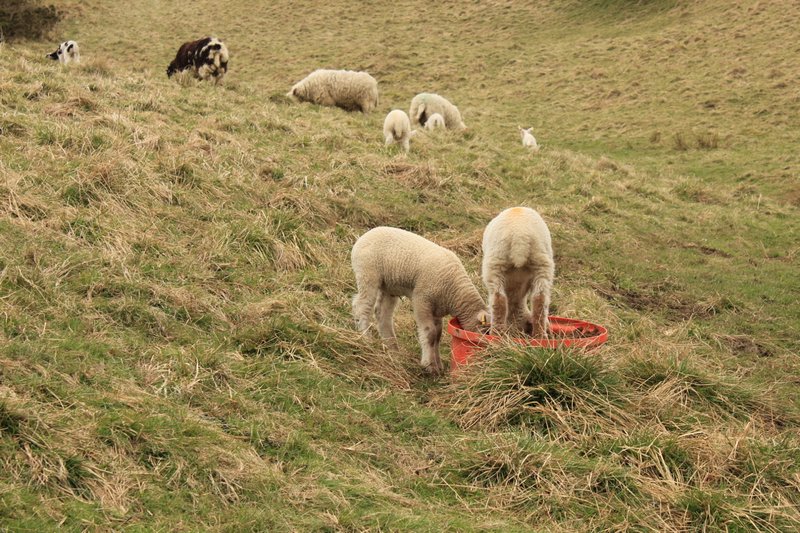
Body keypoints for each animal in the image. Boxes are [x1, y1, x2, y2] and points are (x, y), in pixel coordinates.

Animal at [484, 207, 552, 336]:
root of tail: (520, 235)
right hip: (541, 263)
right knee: (539, 299)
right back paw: (540, 335)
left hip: (495, 264)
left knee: (498, 298)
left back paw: (496, 333)